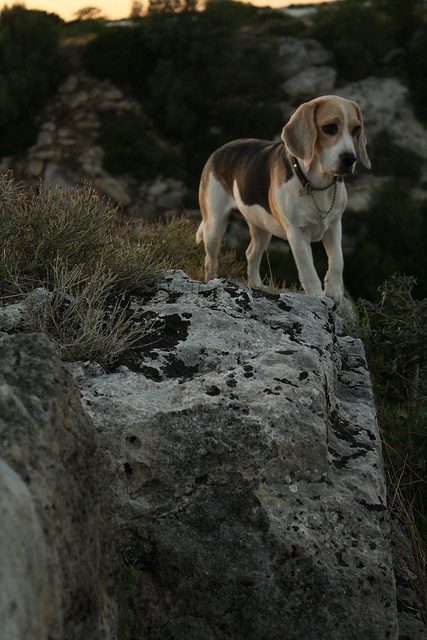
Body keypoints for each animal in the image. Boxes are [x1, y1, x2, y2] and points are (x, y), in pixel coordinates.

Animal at [197, 95, 372, 304]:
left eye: (356, 129)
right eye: (330, 128)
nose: (349, 159)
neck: (315, 185)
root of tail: (217, 152)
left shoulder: (334, 224)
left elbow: (338, 260)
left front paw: (334, 290)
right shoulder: (297, 233)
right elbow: (308, 270)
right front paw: (317, 297)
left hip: (261, 227)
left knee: (251, 254)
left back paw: (256, 285)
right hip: (214, 226)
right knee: (210, 260)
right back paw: (210, 282)